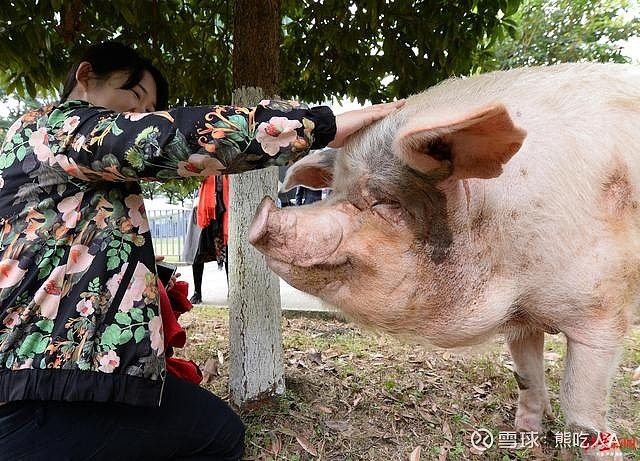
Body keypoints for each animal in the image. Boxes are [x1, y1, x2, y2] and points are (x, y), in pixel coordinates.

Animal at [249, 62, 640, 460]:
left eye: (387, 201)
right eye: (335, 193)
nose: (263, 210)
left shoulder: (602, 314)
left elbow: (581, 409)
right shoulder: (523, 319)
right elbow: (526, 375)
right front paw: (524, 439)